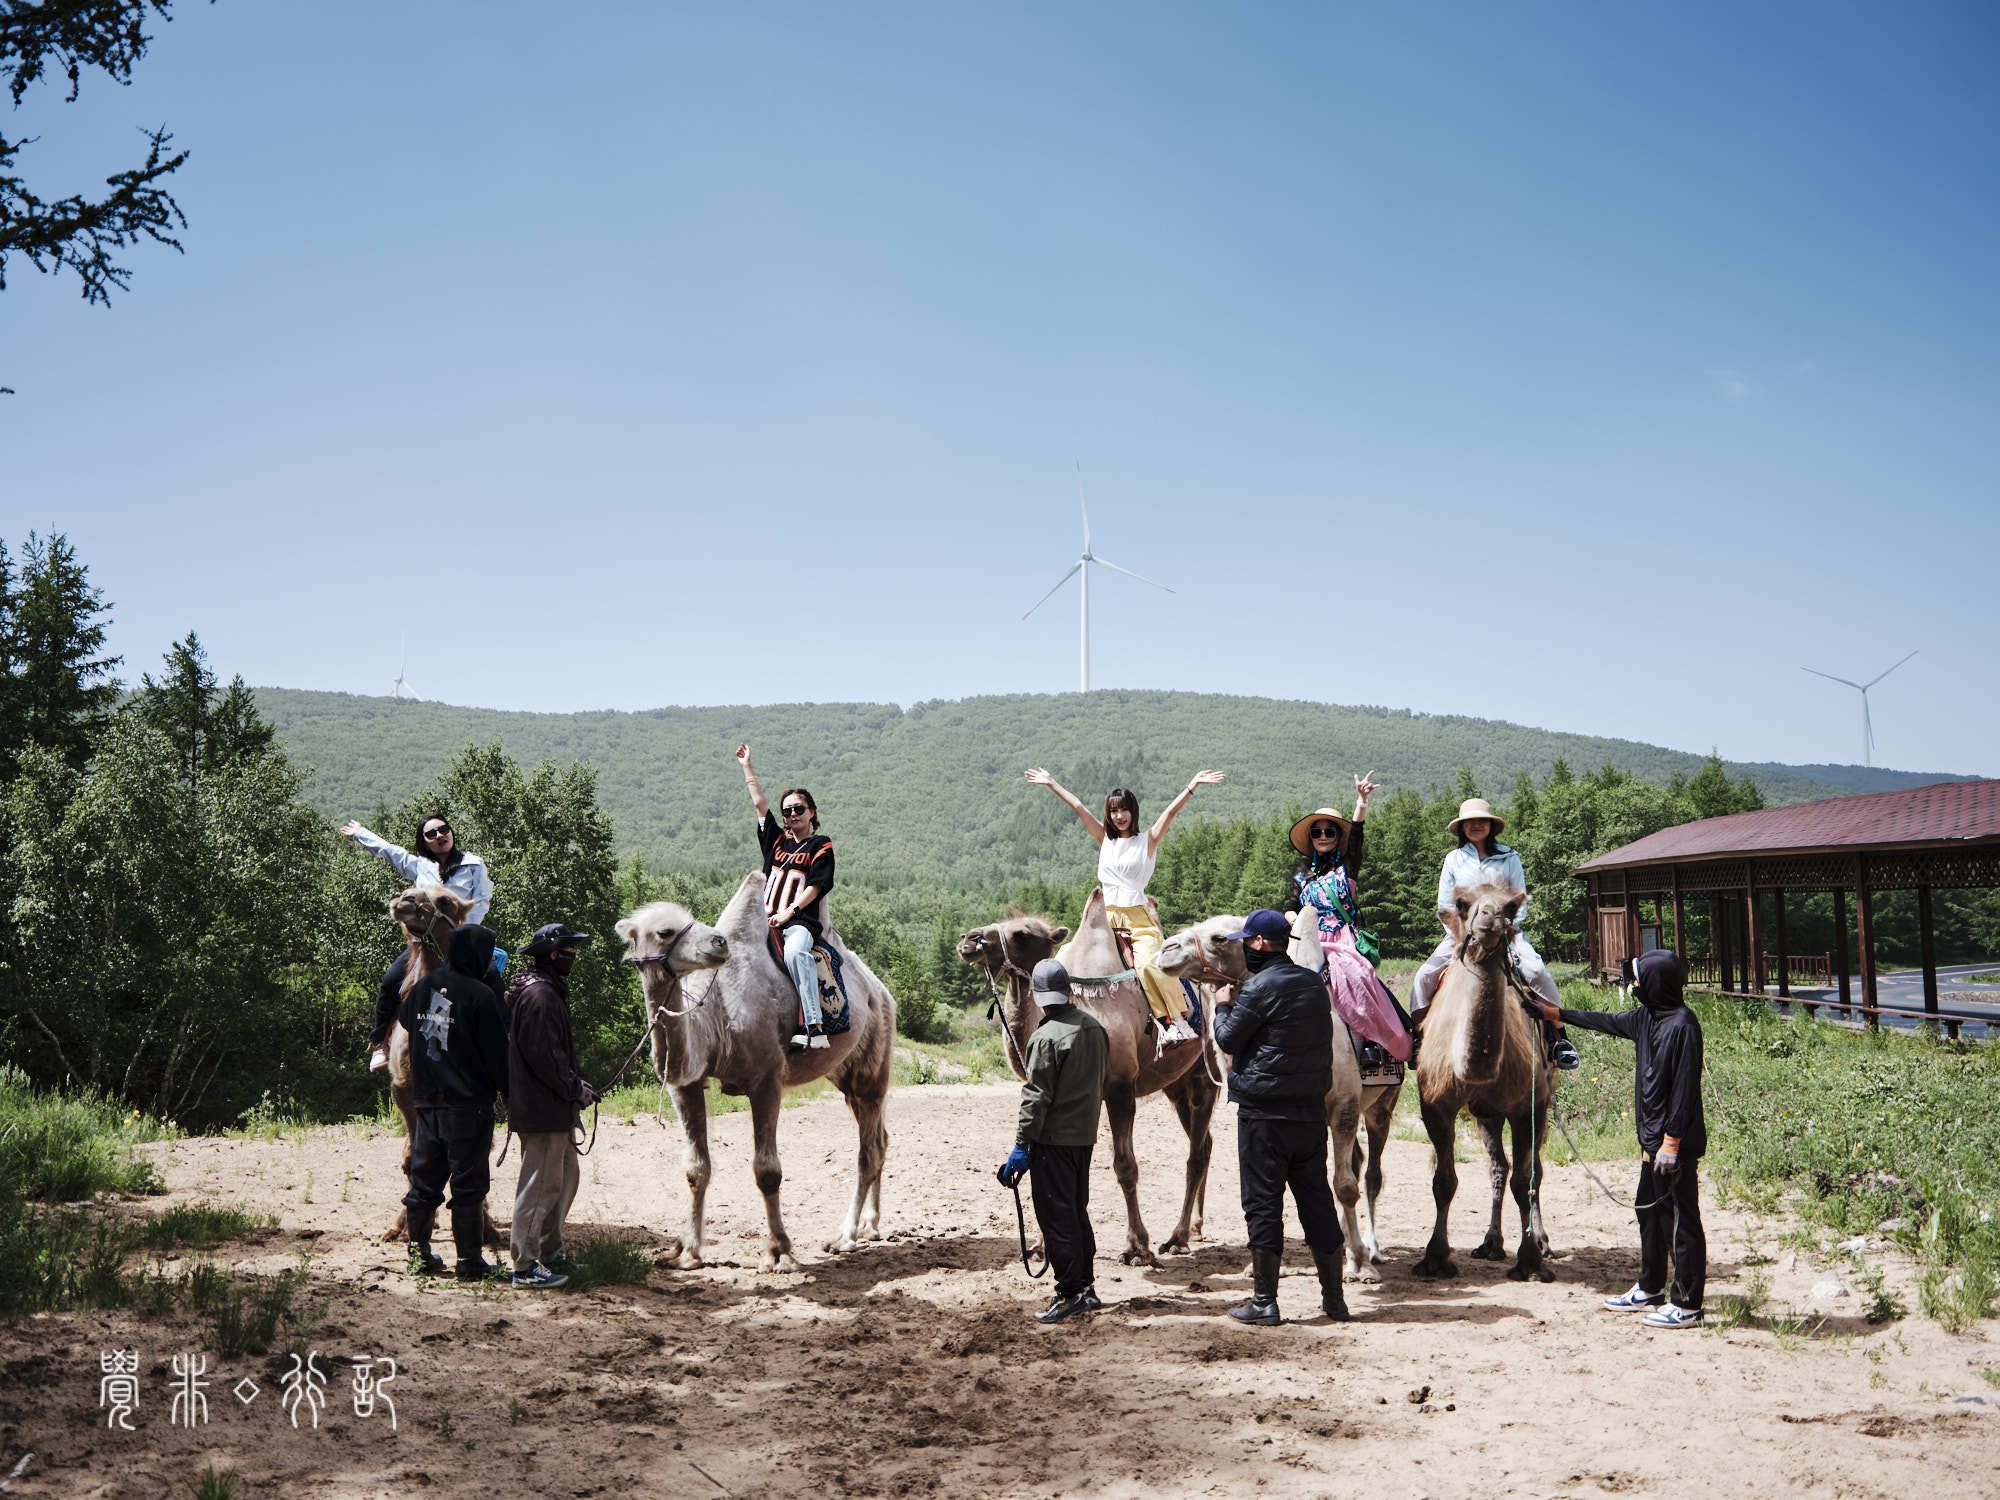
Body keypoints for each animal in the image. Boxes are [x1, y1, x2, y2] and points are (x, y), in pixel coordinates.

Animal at [608, 880, 892, 1280]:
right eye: (664, 931)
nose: (718, 943)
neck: (719, 1016)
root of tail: (879, 991)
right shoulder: (686, 1084)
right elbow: (696, 1169)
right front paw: (687, 1253)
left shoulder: (767, 1079)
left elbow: (767, 1170)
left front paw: (779, 1252)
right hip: (846, 1076)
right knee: (880, 1140)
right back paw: (870, 1226)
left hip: (873, 1063)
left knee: (868, 1150)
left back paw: (845, 1236)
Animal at [952, 892, 1216, 1272]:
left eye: (1021, 934)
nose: (969, 940)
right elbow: (1045, 1167)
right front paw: (1042, 1247)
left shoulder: (1119, 1088)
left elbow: (1125, 1166)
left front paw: (1137, 1248)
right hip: (1176, 1085)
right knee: (1205, 1143)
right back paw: (1194, 1227)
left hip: (1203, 1077)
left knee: (1196, 1153)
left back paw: (1177, 1238)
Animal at [1408, 876, 1560, 1288]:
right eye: (1462, 903)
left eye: (1511, 907)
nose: (1490, 919)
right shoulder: (1436, 1105)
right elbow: (1443, 1181)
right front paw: (1435, 1258)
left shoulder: (1527, 1107)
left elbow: (1526, 1181)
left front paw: (1529, 1261)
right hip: (1487, 1114)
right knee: (1498, 1167)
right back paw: (1490, 1243)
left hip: (1542, 1099)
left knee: (1533, 1170)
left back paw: (1541, 1242)